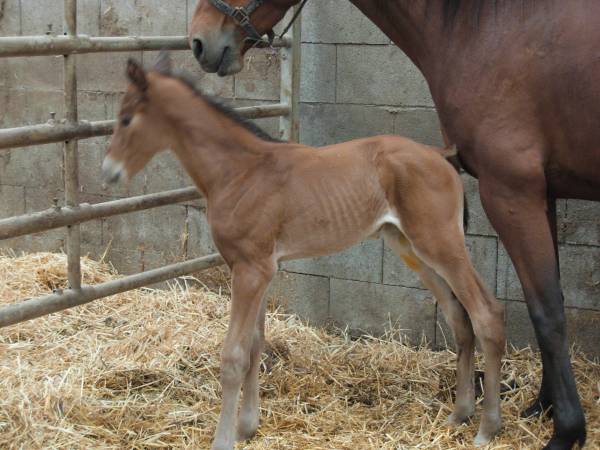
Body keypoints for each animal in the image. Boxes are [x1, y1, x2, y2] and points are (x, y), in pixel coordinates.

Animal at [104, 54, 506, 450]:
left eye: (125, 118)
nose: (108, 172)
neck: (240, 172)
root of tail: (441, 155)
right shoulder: (260, 268)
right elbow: (255, 345)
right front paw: (247, 427)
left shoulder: (250, 270)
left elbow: (234, 355)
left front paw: (224, 440)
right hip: (410, 246)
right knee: (459, 316)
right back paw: (460, 413)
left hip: (440, 242)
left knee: (486, 313)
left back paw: (488, 427)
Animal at [189, 1, 600, 448]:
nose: (199, 41)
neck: (482, 35)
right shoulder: (542, 192)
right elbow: (545, 301)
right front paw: (542, 407)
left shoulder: (511, 189)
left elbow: (547, 310)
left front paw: (566, 430)